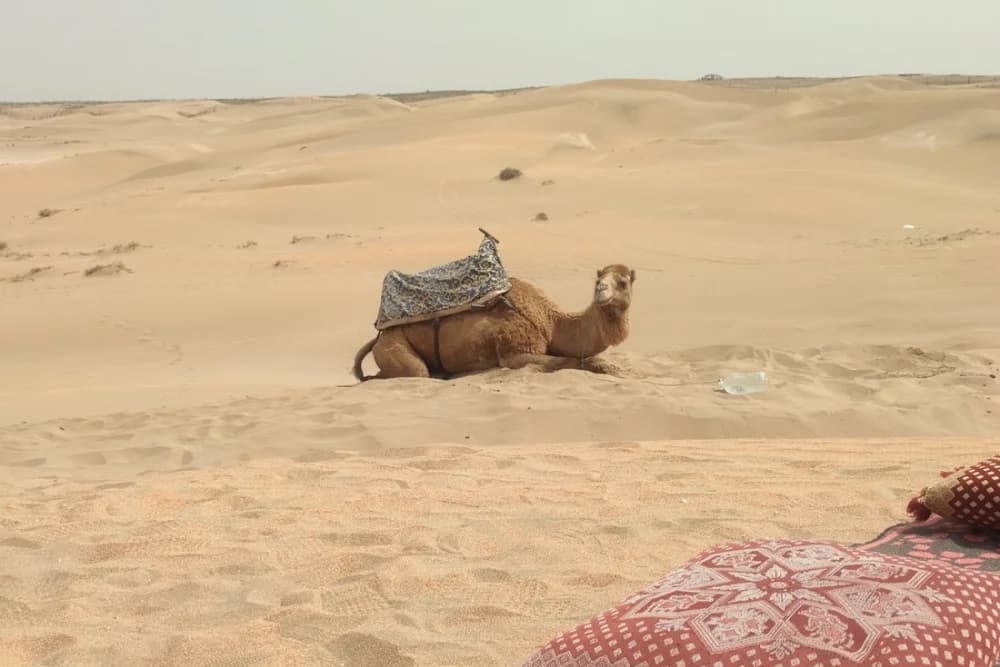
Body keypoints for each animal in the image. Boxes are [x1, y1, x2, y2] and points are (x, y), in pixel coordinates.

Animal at [352, 264, 635, 381]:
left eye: (624, 282)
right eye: (598, 279)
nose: (601, 290)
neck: (551, 321)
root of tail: (378, 338)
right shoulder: (515, 353)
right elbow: (569, 361)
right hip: (395, 347)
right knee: (412, 373)